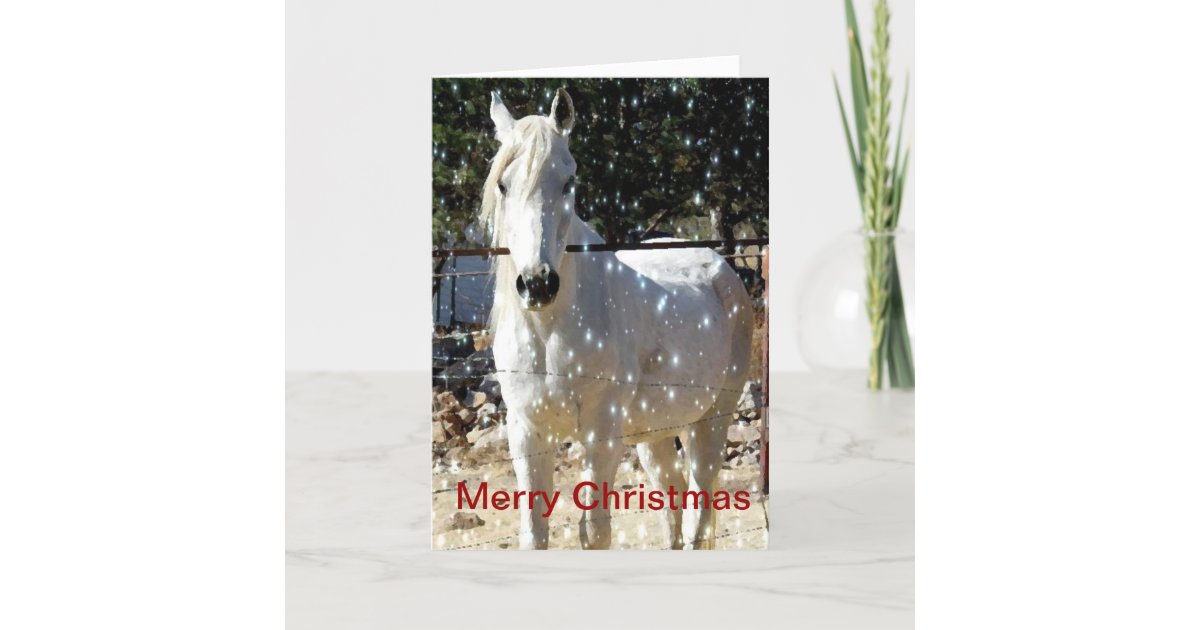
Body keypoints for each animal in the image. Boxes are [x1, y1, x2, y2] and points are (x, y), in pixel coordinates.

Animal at [481, 88, 753, 549]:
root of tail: (724, 270)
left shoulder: (601, 433)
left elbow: (595, 532)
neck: (549, 330)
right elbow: (534, 532)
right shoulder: (526, 432)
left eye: (568, 182)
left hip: (711, 422)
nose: (537, 284)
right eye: (503, 184)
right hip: (655, 434)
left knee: (698, 512)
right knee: (673, 501)